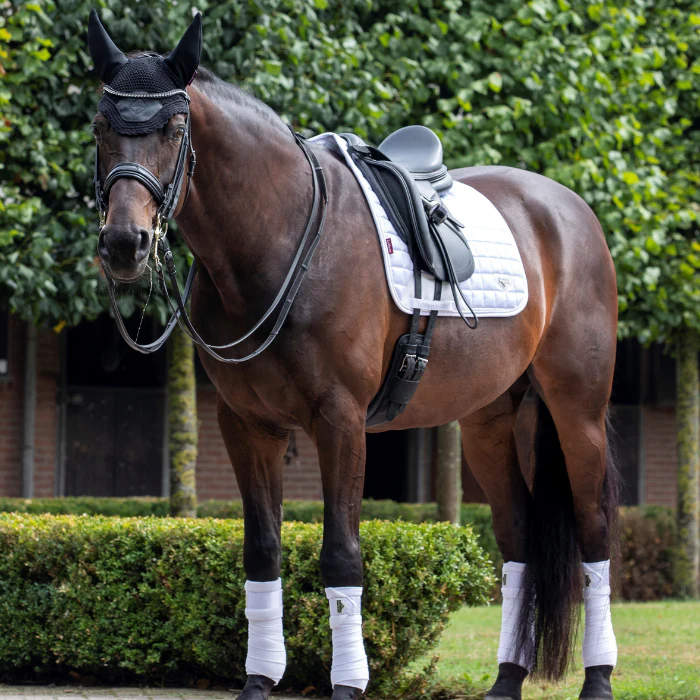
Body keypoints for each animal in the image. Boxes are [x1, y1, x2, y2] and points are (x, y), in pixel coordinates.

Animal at [87, 11, 621, 700]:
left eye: (174, 129)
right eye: (102, 126)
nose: (125, 244)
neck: (281, 238)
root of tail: (570, 209)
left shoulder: (339, 420)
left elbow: (342, 555)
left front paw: (346, 684)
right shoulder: (247, 425)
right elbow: (262, 551)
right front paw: (260, 679)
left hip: (576, 410)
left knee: (594, 531)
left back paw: (598, 678)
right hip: (487, 422)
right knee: (518, 536)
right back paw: (506, 679)